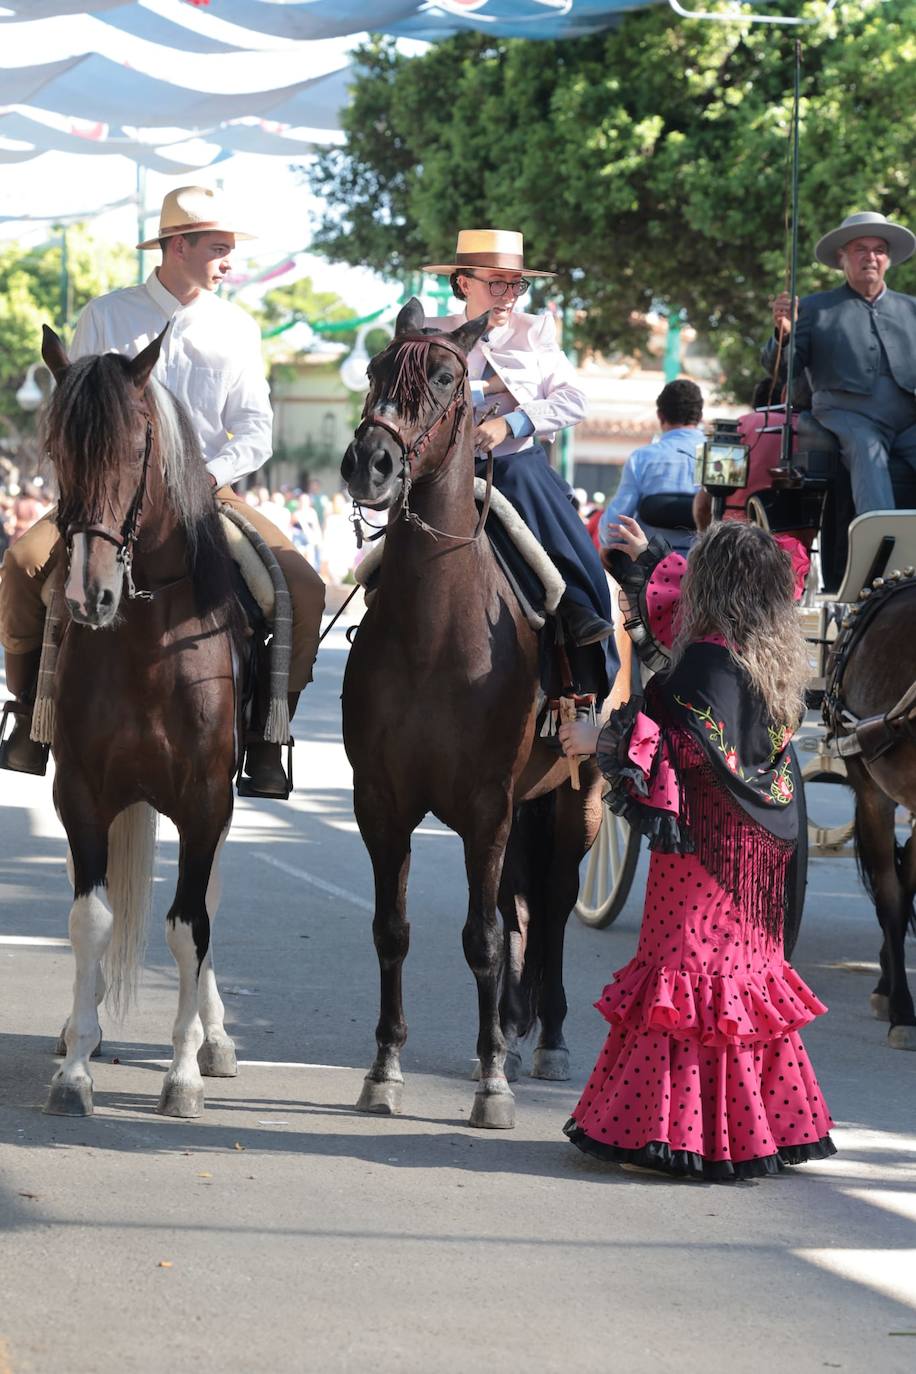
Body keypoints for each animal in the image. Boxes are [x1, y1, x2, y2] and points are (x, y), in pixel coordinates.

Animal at [38, 324, 241, 1115]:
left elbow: (191, 927)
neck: (150, 644)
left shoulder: (206, 799)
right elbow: (90, 920)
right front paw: (75, 1070)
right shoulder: (82, 792)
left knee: (206, 903)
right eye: (57, 450)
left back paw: (214, 1038)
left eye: (134, 449)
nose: (88, 595)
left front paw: (183, 1071)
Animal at [339, 303, 609, 1126]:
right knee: (525, 908)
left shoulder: (486, 807)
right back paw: (518, 1029)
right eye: (374, 369)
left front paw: (490, 1080)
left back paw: (546, 1037)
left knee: (550, 906)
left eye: (444, 377)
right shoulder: (381, 803)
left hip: (578, 794)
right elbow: (391, 930)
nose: (371, 463)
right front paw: (385, 1066)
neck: (435, 627)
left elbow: (484, 937)